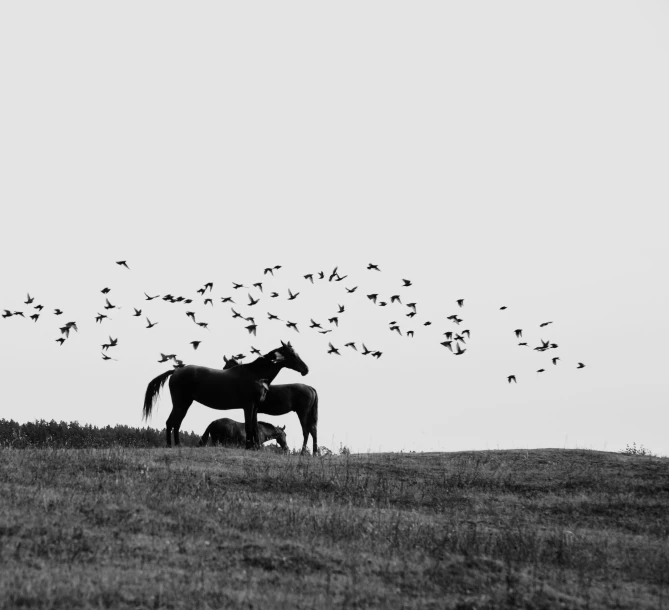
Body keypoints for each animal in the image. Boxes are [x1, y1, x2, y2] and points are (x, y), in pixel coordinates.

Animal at [144, 342, 310, 446]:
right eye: (292, 354)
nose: (305, 369)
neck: (256, 374)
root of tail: (176, 371)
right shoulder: (248, 406)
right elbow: (249, 427)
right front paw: (249, 447)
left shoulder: (255, 408)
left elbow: (254, 428)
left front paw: (254, 447)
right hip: (181, 403)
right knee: (171, 423)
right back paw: (170, 445)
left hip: (185, 404)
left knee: (176, 423)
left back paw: (177, 445)